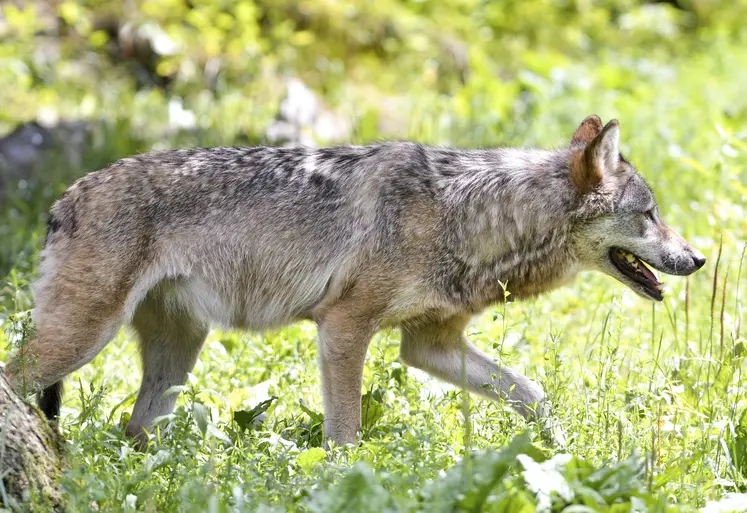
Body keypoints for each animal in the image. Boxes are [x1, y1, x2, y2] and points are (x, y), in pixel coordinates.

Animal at [4, 115, 708, 444]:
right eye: (650, 214)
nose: (699, 259)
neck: (471, 214)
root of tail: (63, 198)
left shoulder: (429, 344)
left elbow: (532, 394)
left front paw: (561, 452)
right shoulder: (343, 329)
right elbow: (344, 433)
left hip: (178, 352)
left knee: (136, 430)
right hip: (83, 337)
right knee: (18, 383)